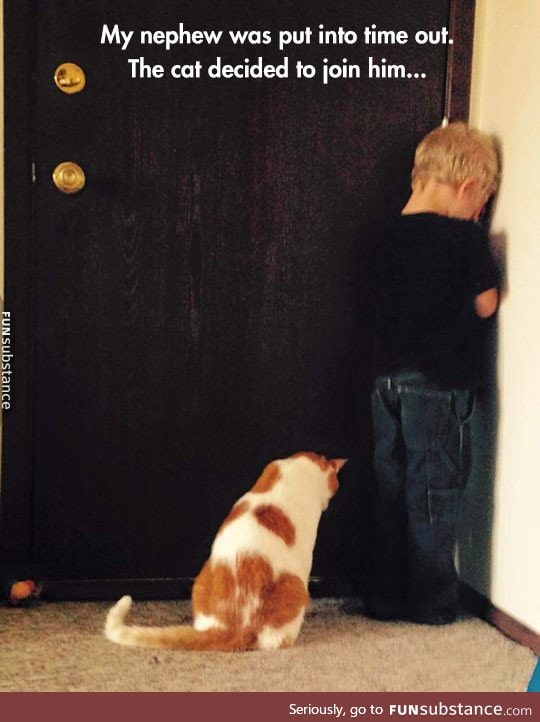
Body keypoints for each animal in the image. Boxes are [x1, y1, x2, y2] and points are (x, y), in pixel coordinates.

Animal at [103, 450, 344, 648]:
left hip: (201, 580)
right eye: (335, 484)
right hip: (296, 587)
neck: (298, 470)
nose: (328, 502)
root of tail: (232, 627)